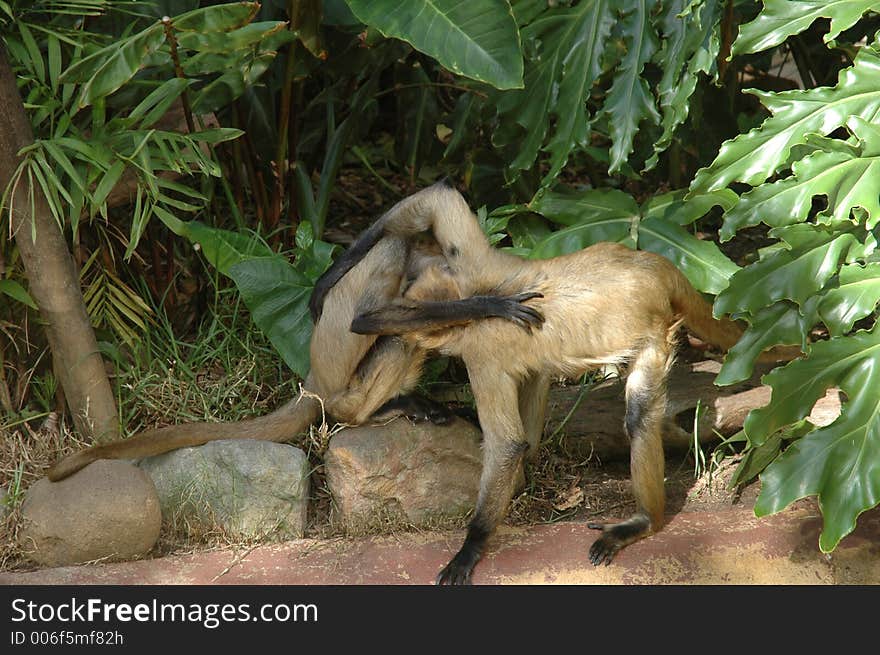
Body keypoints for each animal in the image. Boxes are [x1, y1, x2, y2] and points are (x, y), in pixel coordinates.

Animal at [48, 195, 548, 482]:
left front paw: (324, 282)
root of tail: (315, 382)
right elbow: (368, 318)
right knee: (395, 337)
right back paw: (375, 411)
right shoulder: (410, 260)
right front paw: (491, 305)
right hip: (351, 389)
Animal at [314, 182, 796, 588]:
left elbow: (508, 443)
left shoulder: (481, 349)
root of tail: (653, 265)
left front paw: (471, 546)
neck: (474, 292)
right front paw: (329, 280)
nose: (376, 323)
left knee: (639, 416)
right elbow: (439, 196)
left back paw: (645, 522)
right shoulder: (477, 267)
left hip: (653, 333)